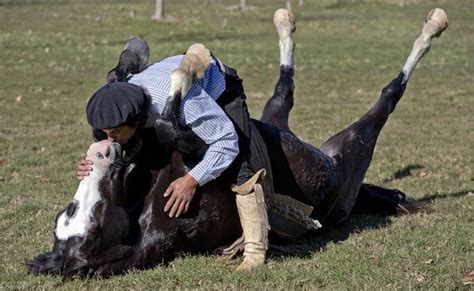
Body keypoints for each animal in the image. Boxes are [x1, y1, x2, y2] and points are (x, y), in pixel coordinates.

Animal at [26, 8, 448, 278]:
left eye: (70, 213)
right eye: (93, 223)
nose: (101, 153)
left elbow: (132, 83)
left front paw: (151, 58)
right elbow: (172, 121)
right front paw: (187, 68)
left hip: (275, 126)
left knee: (282, 93)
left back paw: (279, 24)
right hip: (345, 158)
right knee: (384, 96)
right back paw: (432, 27)